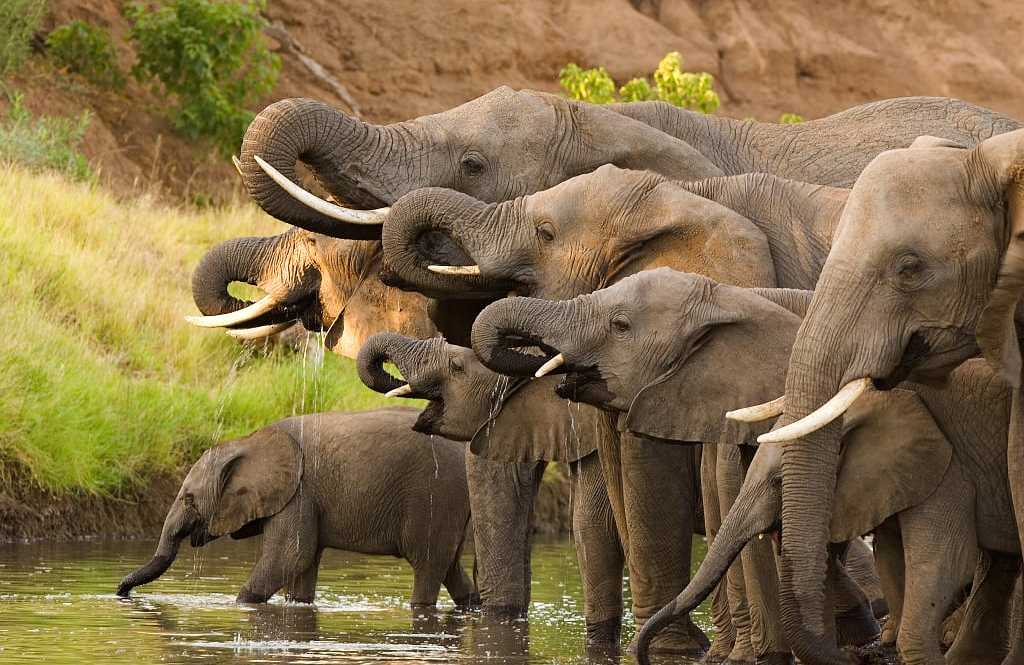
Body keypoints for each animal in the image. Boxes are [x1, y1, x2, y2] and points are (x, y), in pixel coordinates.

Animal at [116, 408, 477, 608]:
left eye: (189, 499)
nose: (120, 591)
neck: (249, 441)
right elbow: (302, 566)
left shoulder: (299, 494)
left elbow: (289, 557)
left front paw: (238, 604)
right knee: (450, 567)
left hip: (435, 495)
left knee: (428, 566)